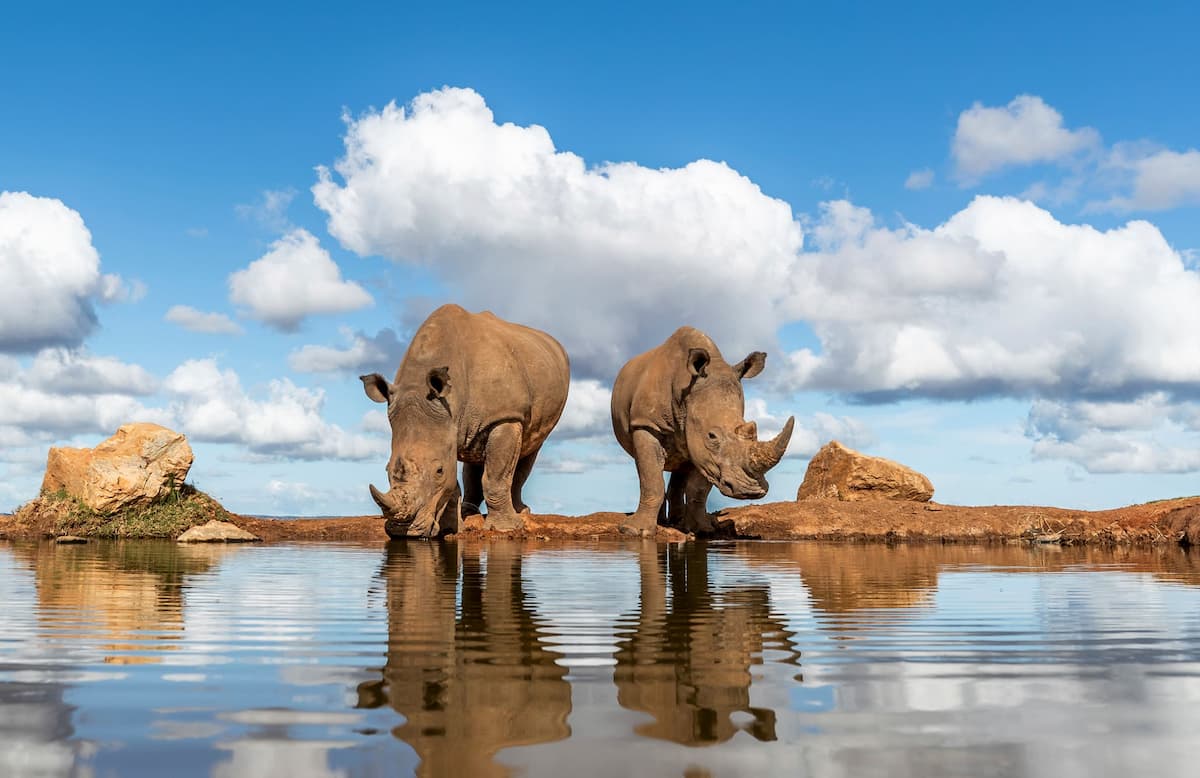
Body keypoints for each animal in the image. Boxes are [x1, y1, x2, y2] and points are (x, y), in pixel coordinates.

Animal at [360, 304, 569, 538]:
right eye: (387, 469)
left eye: (439, 471)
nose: (402, 531)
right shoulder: (447, 426)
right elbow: (456, 481)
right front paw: (451, 529)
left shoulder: (505, 416)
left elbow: (496, 476)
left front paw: (505, 528)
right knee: (475, 453)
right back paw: (469, 511)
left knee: (528, 449)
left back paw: (521, 513)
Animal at [610, 327, 794, 535]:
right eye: (712, 436)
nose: (751, 491)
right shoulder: (646, 424)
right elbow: (651, 479)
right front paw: (634, 531)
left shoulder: (702, 448)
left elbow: (699, 488)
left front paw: (704, 529)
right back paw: (663, 522)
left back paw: (677, 522)